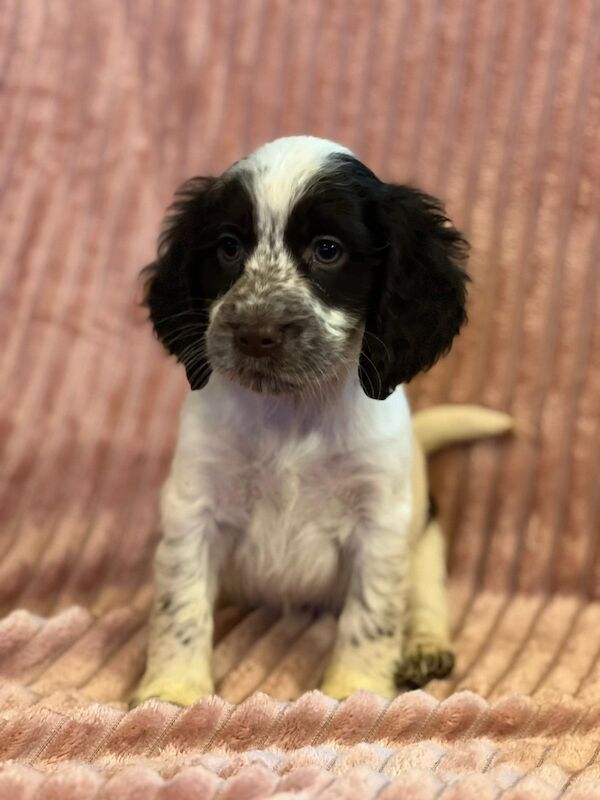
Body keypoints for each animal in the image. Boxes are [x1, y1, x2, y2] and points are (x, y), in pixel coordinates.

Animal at [132, 138, 468, 708]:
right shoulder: (193, 502)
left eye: (328, 249)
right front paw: (172, 690)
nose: (255, 333)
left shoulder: (381, 519)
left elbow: (372, 614)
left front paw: (355, 690)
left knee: (425, 595)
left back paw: (424, 646)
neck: (292, 412)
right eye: (227, 248)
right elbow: (180, 600)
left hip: (423, 531)